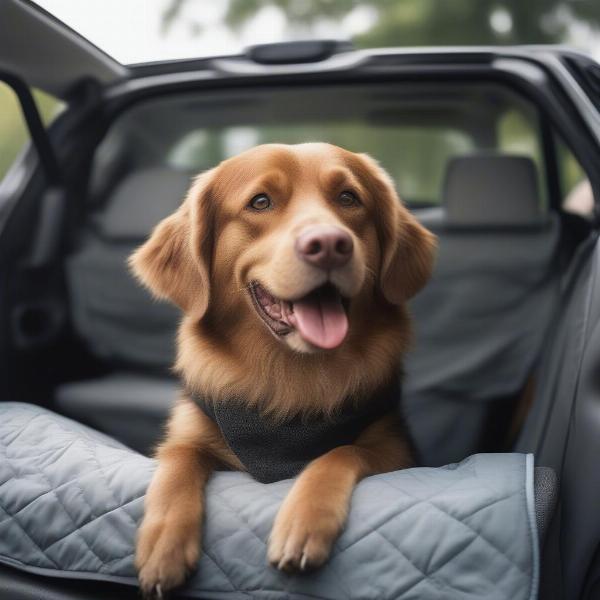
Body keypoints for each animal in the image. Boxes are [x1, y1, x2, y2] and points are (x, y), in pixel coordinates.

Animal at [129, 144, 436, 596]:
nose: (329, 244)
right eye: (260, 202)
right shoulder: (189, 431)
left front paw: (302, 524)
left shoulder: (395, 448)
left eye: (348, 198)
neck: (292, 376)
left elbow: (340, 452)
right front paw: (163, 546)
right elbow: (179, 461)